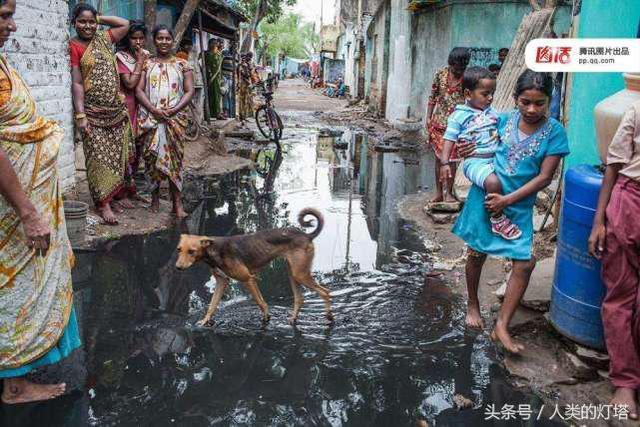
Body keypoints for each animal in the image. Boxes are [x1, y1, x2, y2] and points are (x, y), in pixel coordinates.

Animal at [176, 210, 336, 328]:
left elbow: (260, 302)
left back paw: (329, 317)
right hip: (292, 273)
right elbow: (212, 305)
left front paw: (266, 318)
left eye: (191, 251)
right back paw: (293, 319)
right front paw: (205, 321)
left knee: (325, 292)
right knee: (300, 298)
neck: (214, 250)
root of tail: (306, 235)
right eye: (179, 250)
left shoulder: (248, 279)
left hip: (300, 274)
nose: (177, 267)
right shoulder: (222, 282)